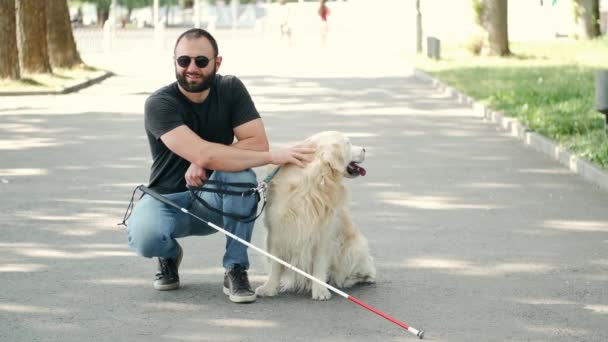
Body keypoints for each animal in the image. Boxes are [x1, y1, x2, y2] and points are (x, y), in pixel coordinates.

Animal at [253, 131, 376, 300]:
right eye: (348, 143)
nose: (364, 149)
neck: (315, 181)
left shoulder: (324, 233)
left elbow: (319, 263)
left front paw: (320, 290)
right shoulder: (277, 231)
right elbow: (275, 264)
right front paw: (269, 288)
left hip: (355, 247)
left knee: (367, 272)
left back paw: (345, 280)